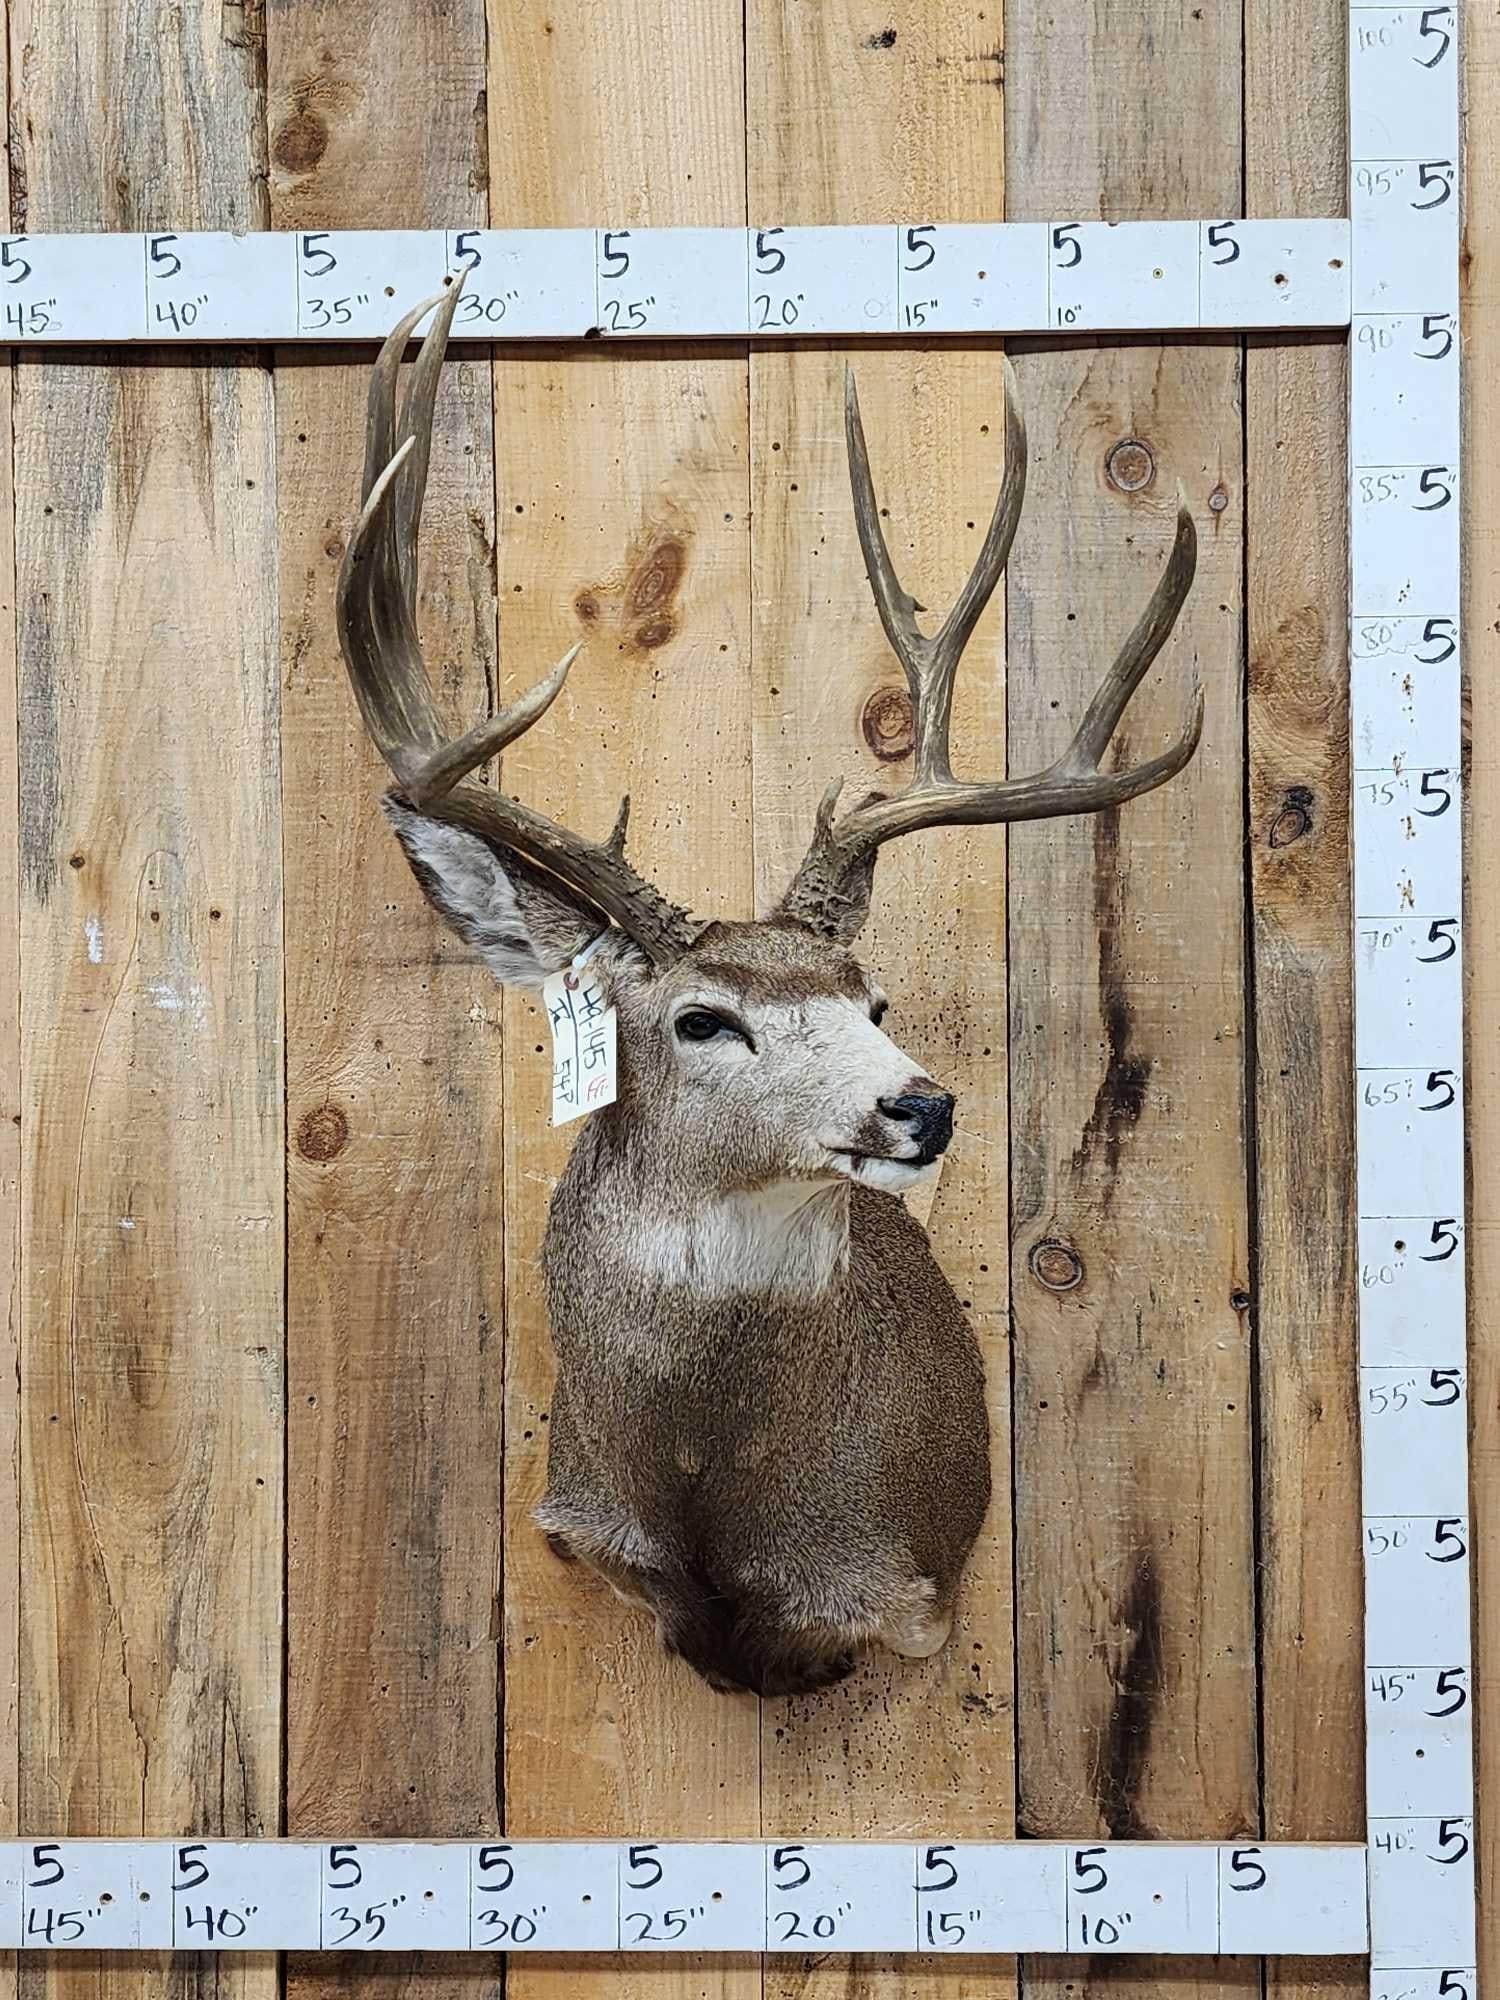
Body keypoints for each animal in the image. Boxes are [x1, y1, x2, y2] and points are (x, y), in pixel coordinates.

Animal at [336, 284, 1203, 1698]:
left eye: (877, 1000)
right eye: (703, 1018)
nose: (924, 1105)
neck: (712, 1492)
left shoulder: (901, 1583)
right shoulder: (582, 1521)